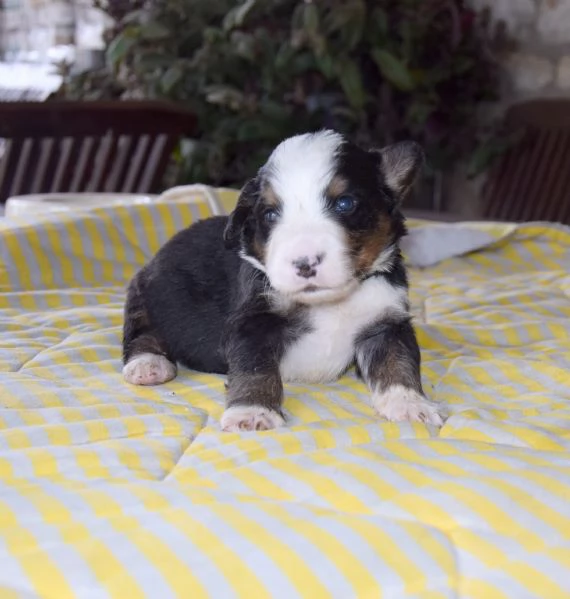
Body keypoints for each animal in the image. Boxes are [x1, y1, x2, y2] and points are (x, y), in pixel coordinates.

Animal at [122, 130, 444, 432]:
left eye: (345, 203)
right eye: (270, 214)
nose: (304, 263)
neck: (330, 303)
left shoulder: (386, 322)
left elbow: (398, 362)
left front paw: (410, 404)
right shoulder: (252, 323)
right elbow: (256, 370)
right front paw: (252, 412)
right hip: (142, 291)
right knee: (141, 332)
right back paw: (148, 364)